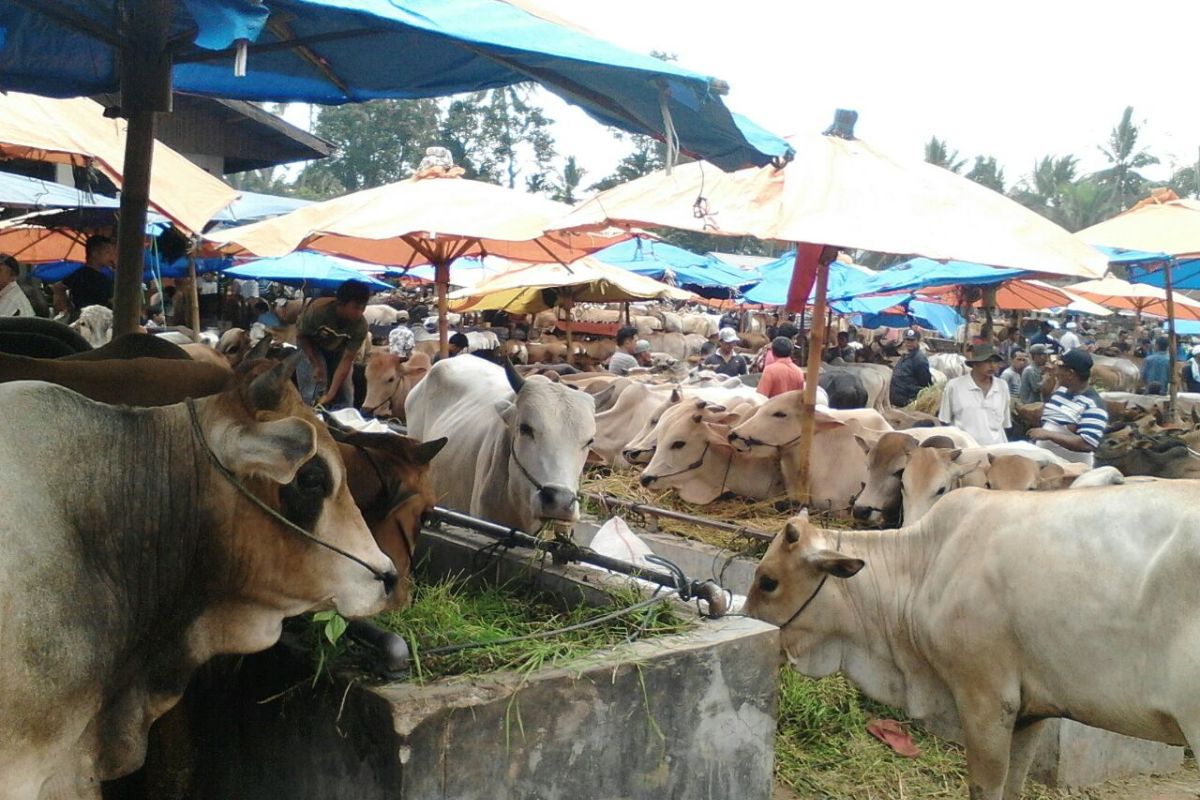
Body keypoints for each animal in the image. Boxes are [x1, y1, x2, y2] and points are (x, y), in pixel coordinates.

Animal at [748, 484, 1200, 796]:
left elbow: (986, 787)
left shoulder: (987, 700)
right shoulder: (1032, 711)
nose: (754, 627)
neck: (926, 565)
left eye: (769, 581)